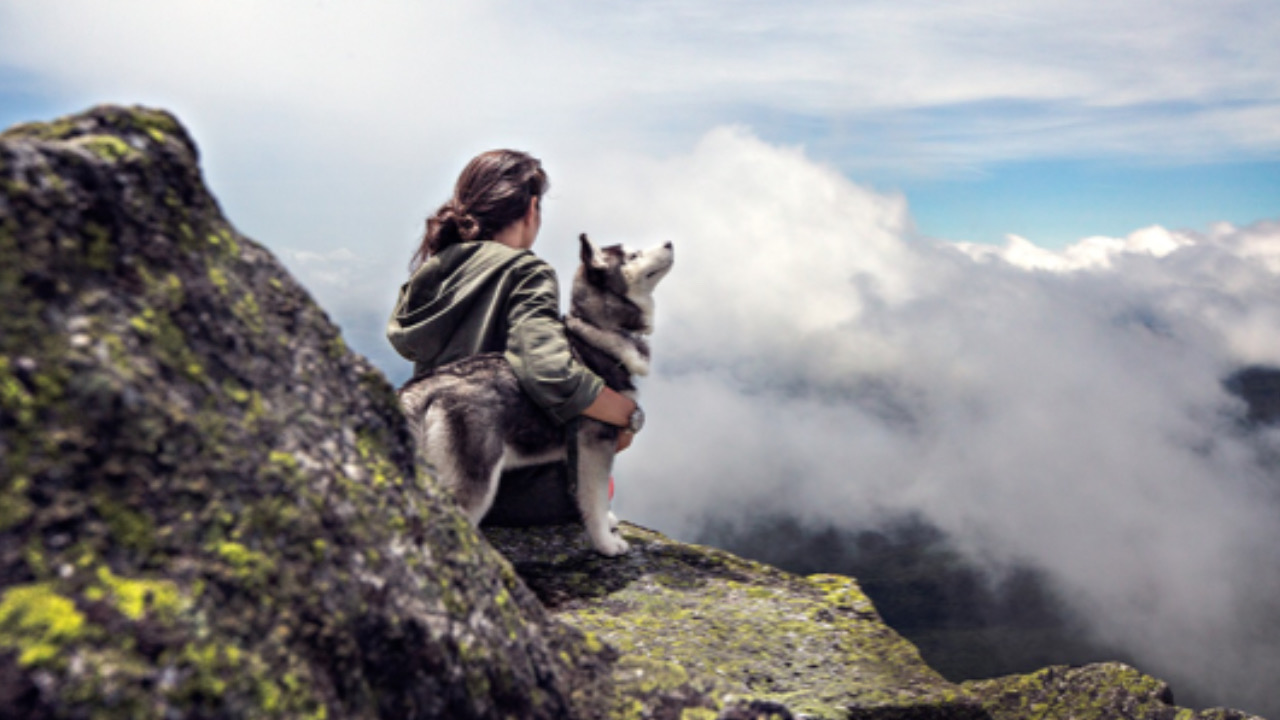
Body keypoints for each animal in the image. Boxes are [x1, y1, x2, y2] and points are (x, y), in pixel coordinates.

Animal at [399, 233, 675, 550]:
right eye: (633, 255)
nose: (670, 242)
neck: (597, 331)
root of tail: (424, 386)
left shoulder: (578, 454)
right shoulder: (595, 443)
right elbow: (595, 499)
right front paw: (606, 543)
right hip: (475, 480)